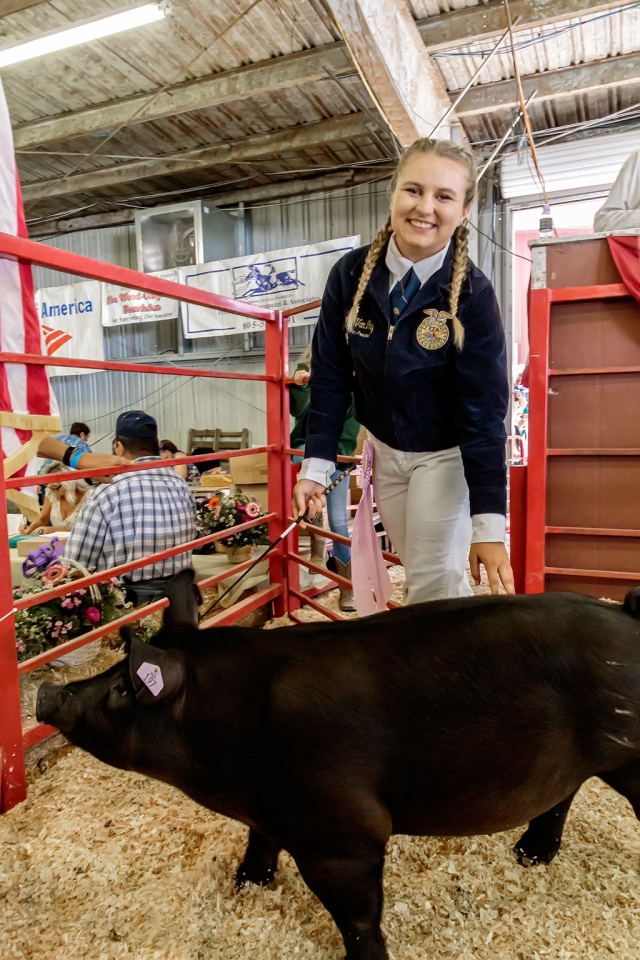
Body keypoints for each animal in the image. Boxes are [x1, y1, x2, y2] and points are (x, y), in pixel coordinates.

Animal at [37, 568, 640, 960]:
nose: (46, 692)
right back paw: (528, 857)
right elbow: (259, 841)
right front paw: (246, 885)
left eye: (123, 687)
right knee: (562, 794)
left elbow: (357, 915)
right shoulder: (269, 810)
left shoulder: (342, 834)